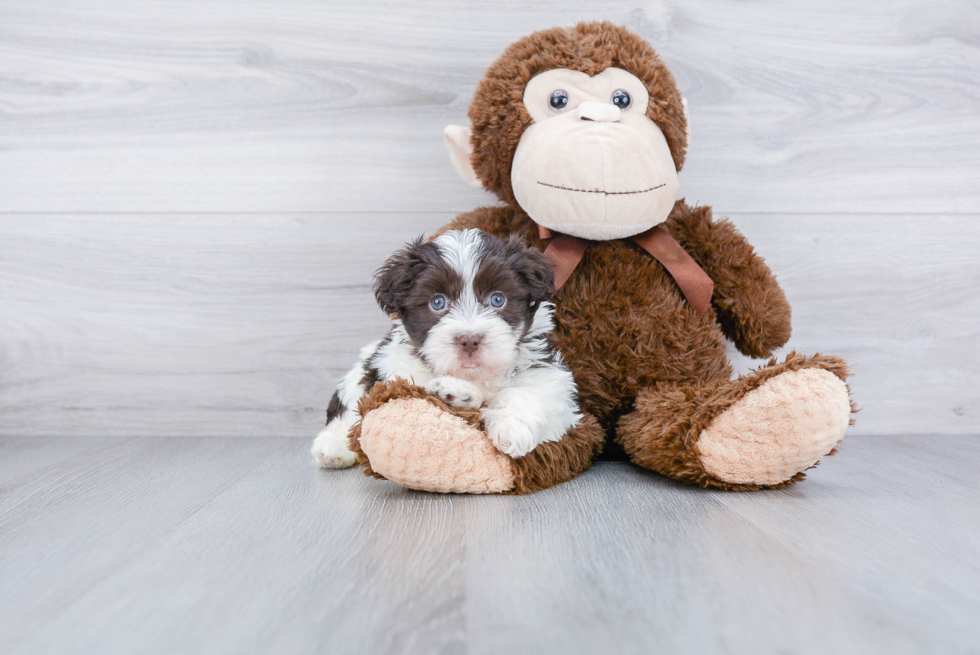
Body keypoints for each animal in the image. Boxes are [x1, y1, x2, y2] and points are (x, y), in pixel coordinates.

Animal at [312, 228, 580, 468]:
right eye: (438, 302)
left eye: (497, 299)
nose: (470, 340)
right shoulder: (394, 368)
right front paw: (456, 391)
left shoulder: (550, 378)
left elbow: (532, 391)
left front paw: (512, 427)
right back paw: (333, 448)